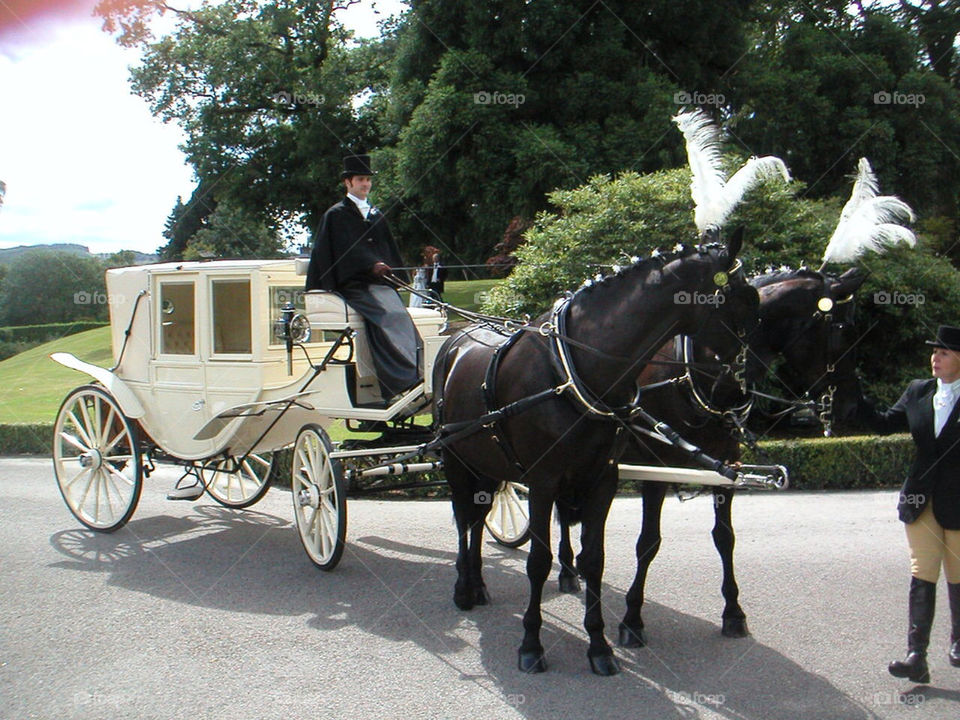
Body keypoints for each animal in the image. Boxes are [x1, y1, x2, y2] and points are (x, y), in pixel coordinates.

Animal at [434, 232, 756, 676]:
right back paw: (464, 587)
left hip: (487, 462)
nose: (739, 397)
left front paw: (599, 645)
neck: (574, 373)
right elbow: (538, 561)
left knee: (479, 518)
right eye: (742, 302)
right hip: (455, 458)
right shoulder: (542, 482)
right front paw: (531, 644)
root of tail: (457, 337)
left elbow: (595, 560)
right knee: (465, 520)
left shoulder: (602, 479)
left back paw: (479, 583)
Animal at [564, 268, 864, 648]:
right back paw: (566, 570)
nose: (852, 406)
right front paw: (632, 618)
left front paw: (733, 612)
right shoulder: (656, 469)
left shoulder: (726, 466)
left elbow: (725, 538)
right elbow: (648, 543)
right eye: (842, 332)